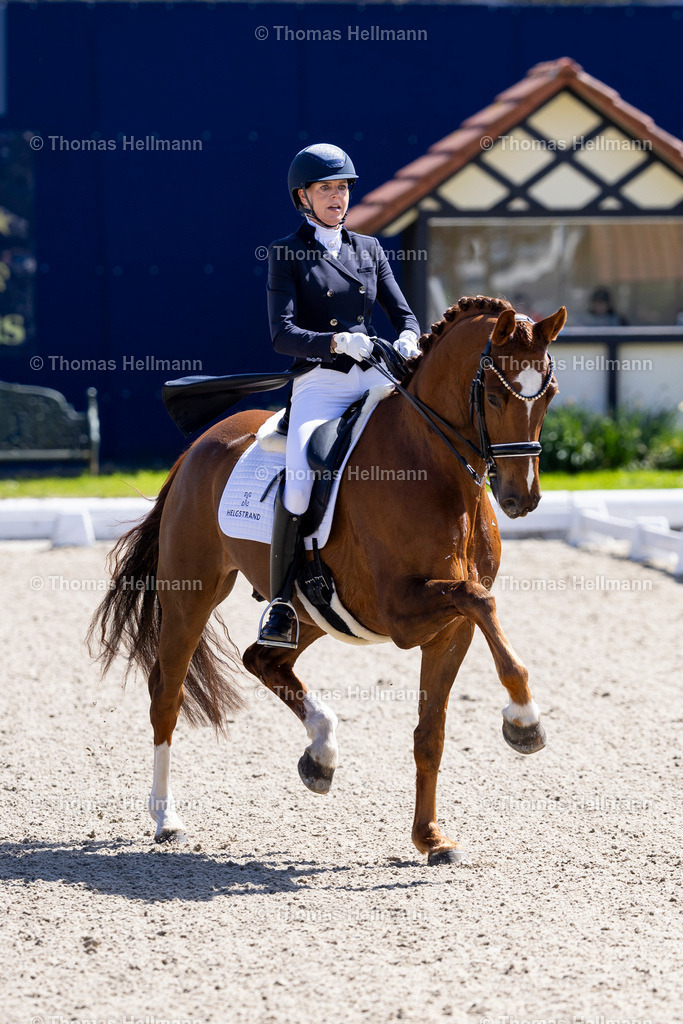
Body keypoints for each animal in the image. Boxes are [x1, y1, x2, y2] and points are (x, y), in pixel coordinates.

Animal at [89, 295, 566, 865]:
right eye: (494, 395)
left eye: (549, 394)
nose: (522, 499)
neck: (435, 467)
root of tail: (196, 449)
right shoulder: (402, 613)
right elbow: (480, 601)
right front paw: (526, 721)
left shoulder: (447, 629)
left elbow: (431, 730)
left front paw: (430, 838)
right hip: (192, 595)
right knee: (168, 693)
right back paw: (166, 819)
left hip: (309, 609)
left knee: (263, 658)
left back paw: (321, 753)